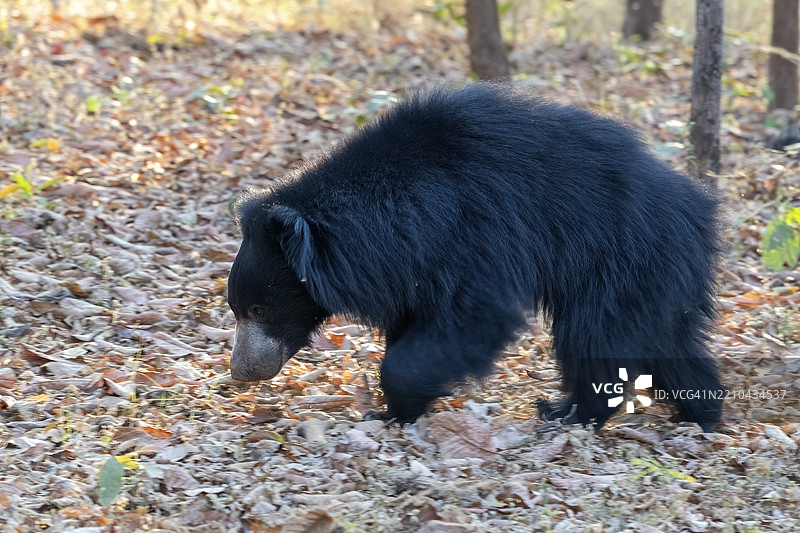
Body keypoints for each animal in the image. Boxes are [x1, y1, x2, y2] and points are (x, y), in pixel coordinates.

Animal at [227, 83, 723, 431]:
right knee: (667, 343)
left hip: (621, 261)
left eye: (259, 309)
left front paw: (393, 407)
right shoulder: (408, 268)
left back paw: (569, 413)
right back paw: (702, 413)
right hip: (655, 276)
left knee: (594, 337)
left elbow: (475, 315)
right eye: (237, 310)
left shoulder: (469, 233)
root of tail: (699, 209)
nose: (241, 372)